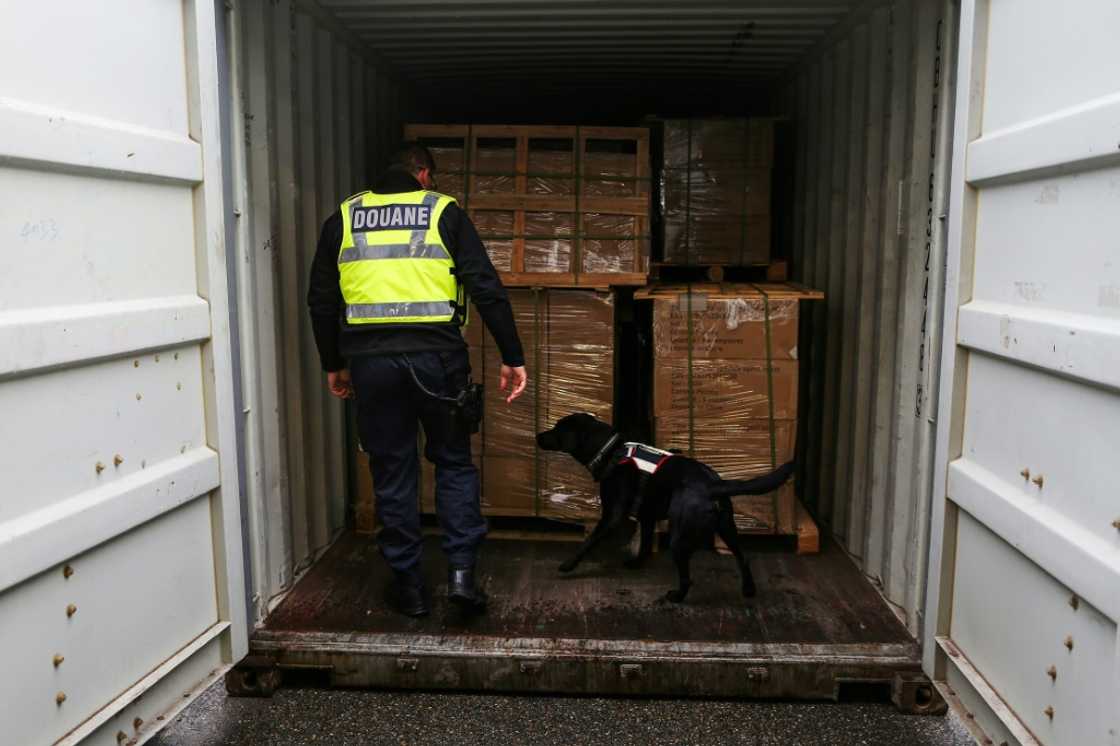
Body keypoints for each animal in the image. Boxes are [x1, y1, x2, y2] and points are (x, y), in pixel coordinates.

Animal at [535, 409, 792, 600]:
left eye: (557, 429)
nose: (537, 435)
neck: (610, 451)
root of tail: (714, 485)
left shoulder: (612, 516)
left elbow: (589, 541)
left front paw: (568, 564)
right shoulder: (647, 516)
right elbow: (645, 544)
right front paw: (637, 563)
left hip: (680, 537)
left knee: (687, 576)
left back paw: (677, 596)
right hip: (727, 527)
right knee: (743, 557)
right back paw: (748, 590)